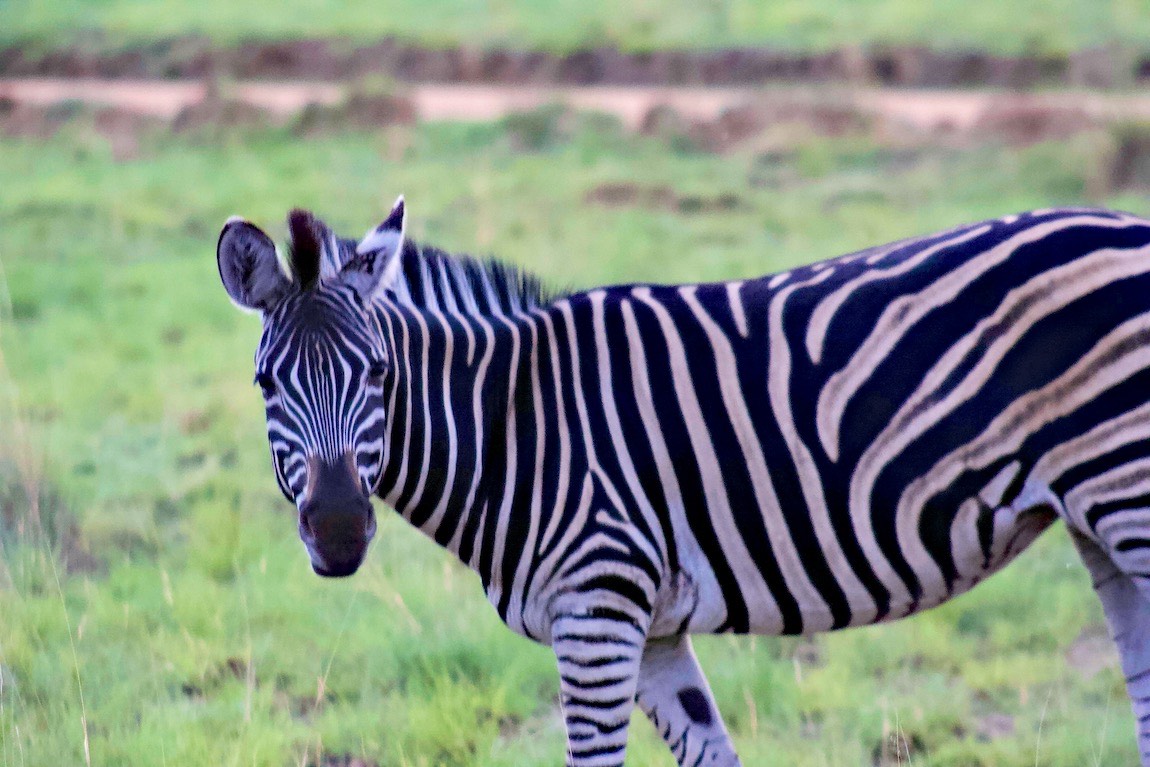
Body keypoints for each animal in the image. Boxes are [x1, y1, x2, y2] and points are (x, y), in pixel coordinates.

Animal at [217, 199, 1150, 766]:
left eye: (379, 374)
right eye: (265, 384)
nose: (340, 531)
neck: (514, 423)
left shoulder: (596, 610)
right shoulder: (652, 626)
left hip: (1128, 494)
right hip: (1100, 524)